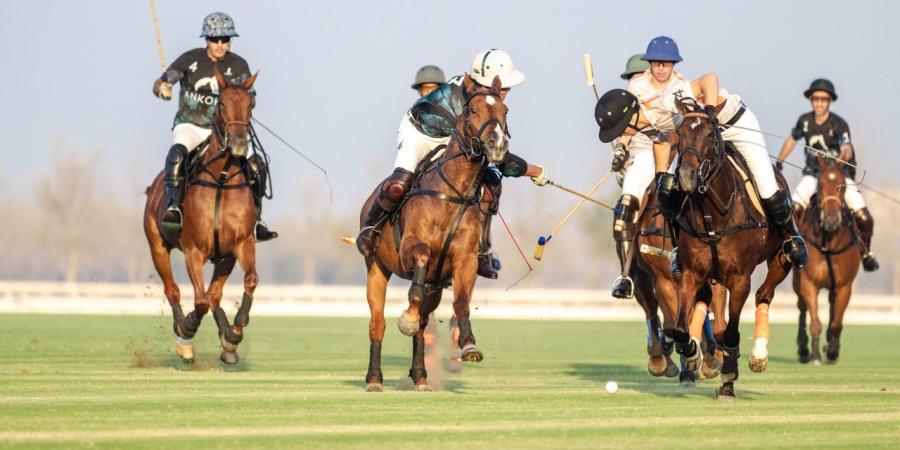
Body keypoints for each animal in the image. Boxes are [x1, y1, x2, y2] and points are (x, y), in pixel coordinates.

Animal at [142, 69, 258, 366]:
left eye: (251, 104)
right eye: (222, 103)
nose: (238, 144)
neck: (222, 179)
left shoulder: (238, 246)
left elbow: (245, 282)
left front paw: (234, 332)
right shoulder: (194, 250)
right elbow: (200, 301)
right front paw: (188, 328)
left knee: (213, 296)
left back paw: (227, 341)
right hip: (157, 245)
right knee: (173, 289)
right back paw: (184, 337)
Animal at [360, 73, 510, 390]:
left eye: (505, 111)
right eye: (473, 110)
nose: (498, 144)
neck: (453, 192)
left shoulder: (465, 260)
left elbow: (462, 301)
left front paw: (469, 344)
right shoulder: (409, 249)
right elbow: (421, 255)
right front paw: (406, 315)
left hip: (436, 287)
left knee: (423, 328)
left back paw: (420, 375)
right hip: (376, 267)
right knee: (377, 323)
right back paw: (374, 378)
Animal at [668, 99, 796, 400]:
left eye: (710, 135)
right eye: (680, 134)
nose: (687, 176)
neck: (713, 215)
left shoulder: (739, 280)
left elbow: (731, 333)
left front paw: (728, 380)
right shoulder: (690, 273)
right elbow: (680, 330)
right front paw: (693, 356)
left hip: (780, 259)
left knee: (764, 295)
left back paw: (758, 356)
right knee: (707, 304)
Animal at [792, 155, 860, 366]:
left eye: (842, 186)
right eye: (820, 185)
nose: (830, 220)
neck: (829, 242)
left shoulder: (845, 285)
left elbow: (836, 322)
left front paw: (832, 352)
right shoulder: (808, 282)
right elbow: (814, 322)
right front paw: (815, 355)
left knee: (832, 308)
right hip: (797, 280)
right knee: (801, 307)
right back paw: (803, 349)